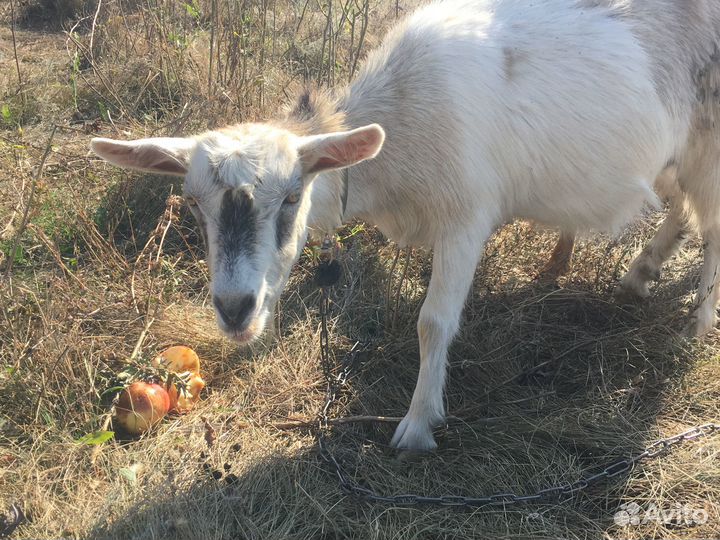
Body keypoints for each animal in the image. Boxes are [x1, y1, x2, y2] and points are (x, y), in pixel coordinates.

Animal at [91, 0, 720, 451]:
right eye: (194, 204)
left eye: (293, 196)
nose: (234, 309)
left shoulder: (466, 217)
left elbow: (433, 323)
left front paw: (417, 426)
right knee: (685, 210)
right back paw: (641, 273)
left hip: (709, 143)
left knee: (712, 226)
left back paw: (698, 322)